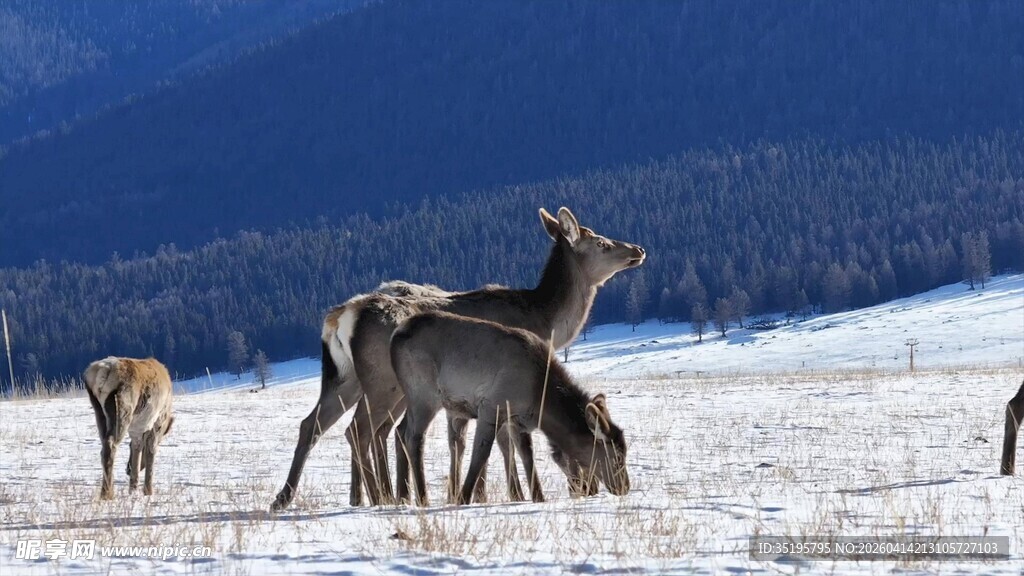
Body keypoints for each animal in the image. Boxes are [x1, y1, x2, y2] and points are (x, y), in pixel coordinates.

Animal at [84, 357, 175, 500]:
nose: (127, 469)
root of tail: (103, 370)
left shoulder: (136, 430)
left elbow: (136, 449)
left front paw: (133, 488)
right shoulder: (156, 422)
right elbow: (151, 451)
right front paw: (148, 491)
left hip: (98, 409)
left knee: (103, 445)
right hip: (123, 408)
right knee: (111, 445)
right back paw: (107, 493)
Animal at [391, 311, 630, 505]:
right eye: (617, 457)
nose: (625, 487)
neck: (540, 400)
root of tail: (396, 335)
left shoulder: (518, 421)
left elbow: (527, 456)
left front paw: (538, 497)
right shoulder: (491, 407)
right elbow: (481, 454)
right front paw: (463, 498)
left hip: (415, 398)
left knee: (400, 430)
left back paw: (403, 497)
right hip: (424, 395)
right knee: (415, 438)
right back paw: (422, 498)